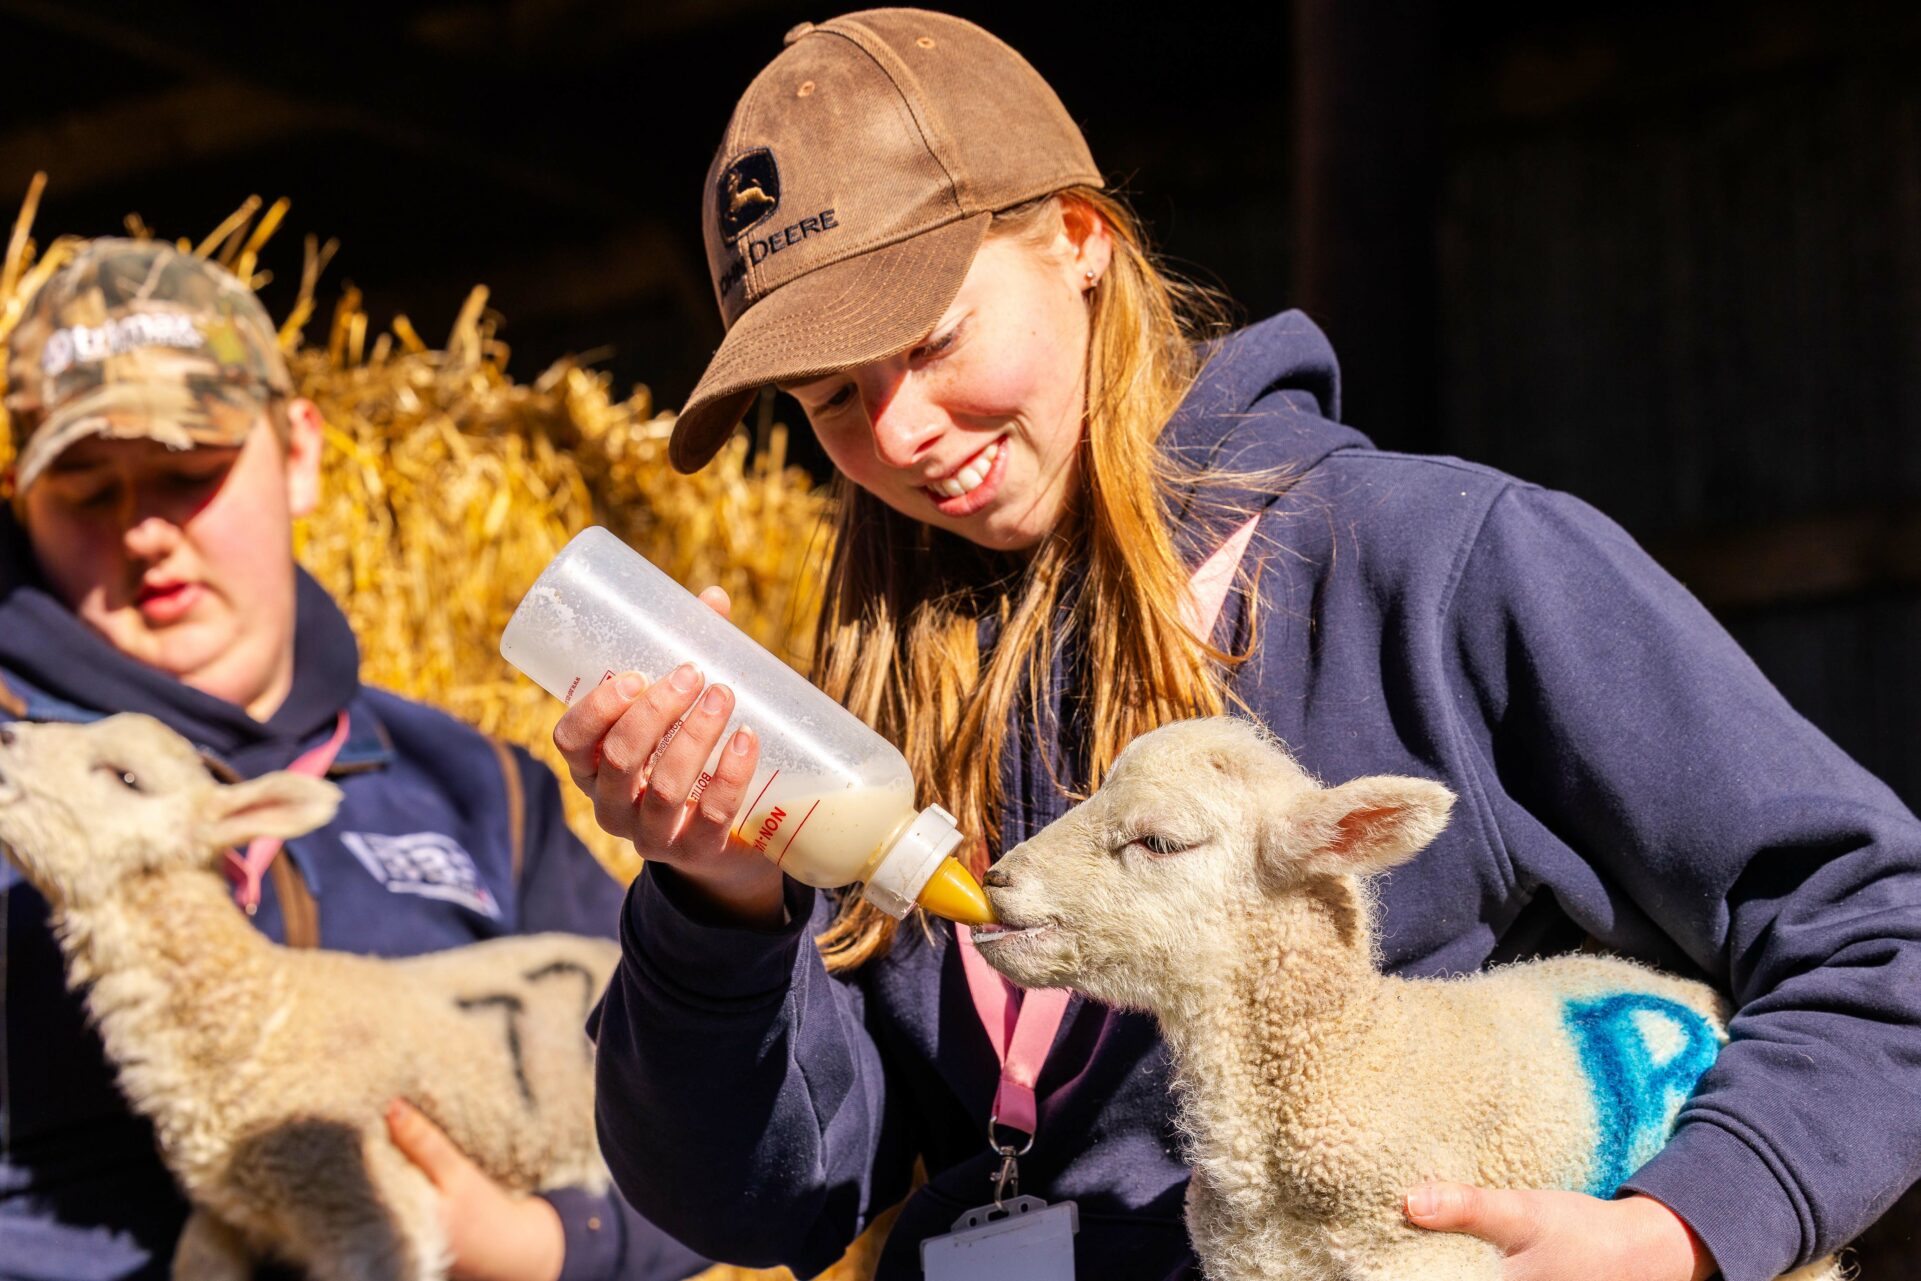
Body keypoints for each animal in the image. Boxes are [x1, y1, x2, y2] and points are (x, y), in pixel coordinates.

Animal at [969, 716, 1846, 1281]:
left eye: (1157, 840)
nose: (995, 877)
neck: (1351, 1055)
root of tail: (1694, 992)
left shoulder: (1427, 1246)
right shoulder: (1253, 1265)